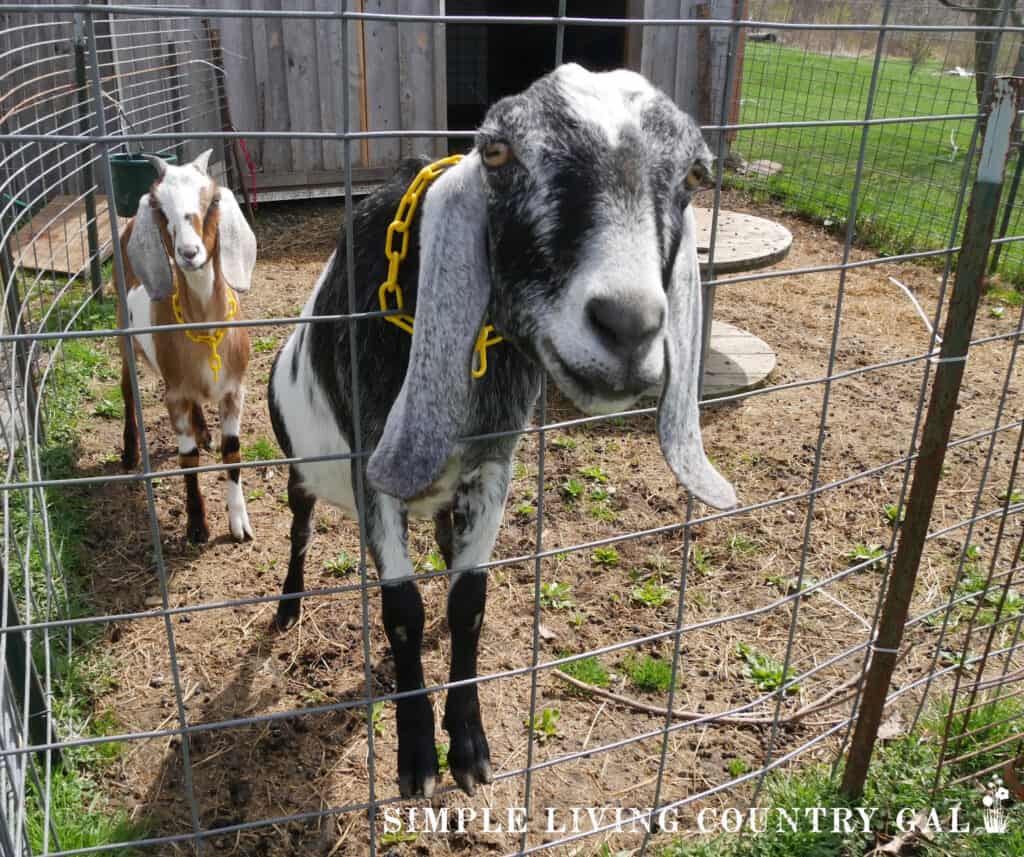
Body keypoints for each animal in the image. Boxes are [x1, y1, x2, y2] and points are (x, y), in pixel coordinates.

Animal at [118, 148, 256, 540]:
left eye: (211, 201)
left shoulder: (234, 391)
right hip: (123, 336)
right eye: (160, 208)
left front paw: (239, 522)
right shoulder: (174, 397)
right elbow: (188, 459)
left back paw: (204, 429)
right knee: (127, 390)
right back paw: (130, 452)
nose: (189, 252)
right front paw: (197, 526)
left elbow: (233, 451)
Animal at [268, 65, 737, 794]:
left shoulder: (491, 463)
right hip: (299, 465)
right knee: (299, 527)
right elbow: (402, 612)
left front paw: (467, 743)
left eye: (692, 174)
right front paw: (416, 756)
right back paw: (288, 606)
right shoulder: (373, 467)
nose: (629, 325)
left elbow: (468, 599)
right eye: (496, 153)